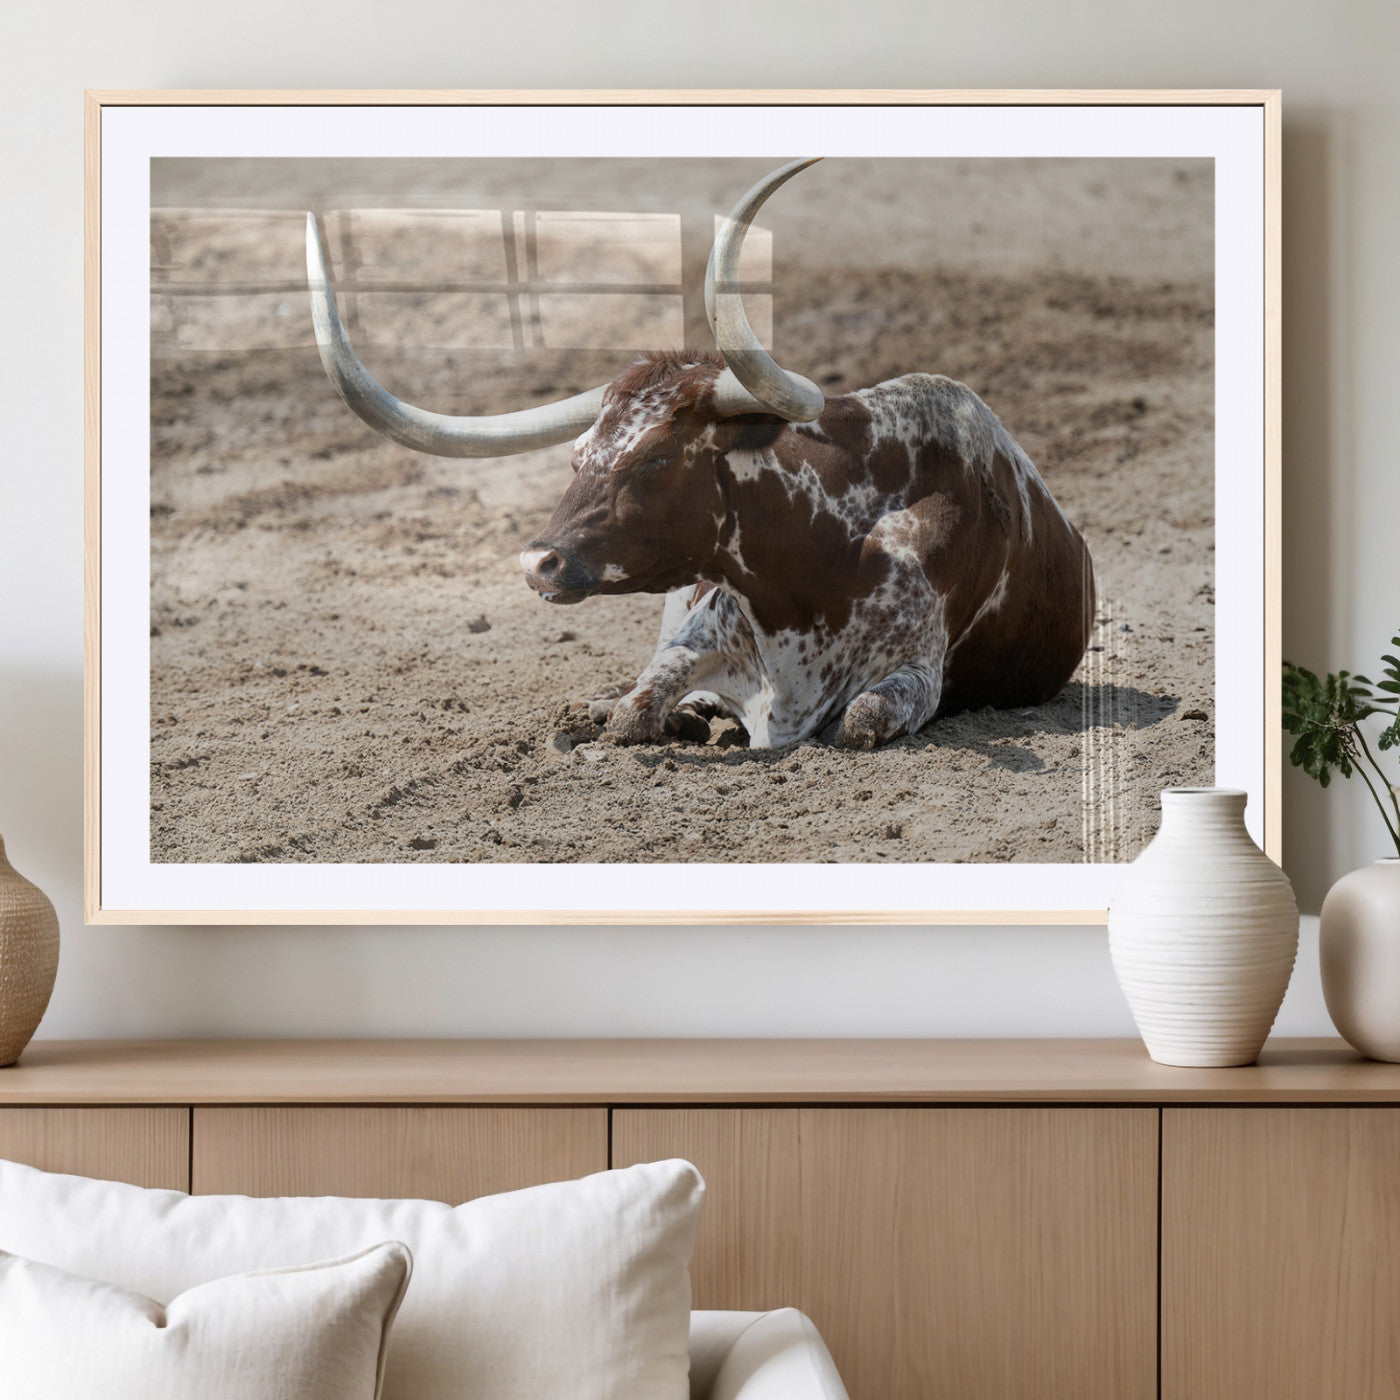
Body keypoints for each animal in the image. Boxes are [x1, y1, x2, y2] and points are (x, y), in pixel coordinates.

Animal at [306, 158, 1095, 750]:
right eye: (579, 456)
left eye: (656, 459)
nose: (538, 562)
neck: (821, 562)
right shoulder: (698, 630)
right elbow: (637, 706)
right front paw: (642, 712)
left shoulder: (916, 675)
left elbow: (860, 720)